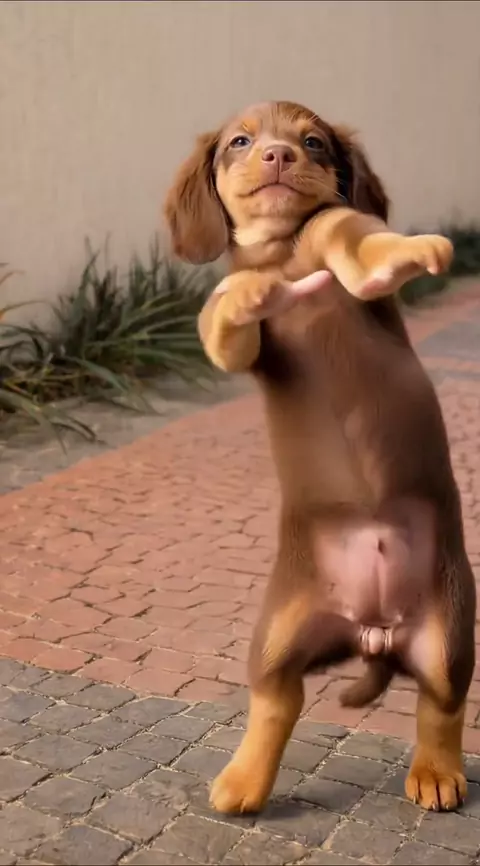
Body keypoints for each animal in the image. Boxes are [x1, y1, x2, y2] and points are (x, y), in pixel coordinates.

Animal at [164, 101, 476, 815]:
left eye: (312, 141)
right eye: (239, 141)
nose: (278, 155)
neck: (281, 253)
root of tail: (374, 630)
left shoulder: (337, 236)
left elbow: (342, 228)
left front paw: (396, 256)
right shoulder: (240, 350)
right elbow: (221, 317)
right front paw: (247, 294)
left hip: (451, 634)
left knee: (440, 708)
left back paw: (437, 774)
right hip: (277, 636)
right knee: (276, 702)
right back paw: (243, 782)